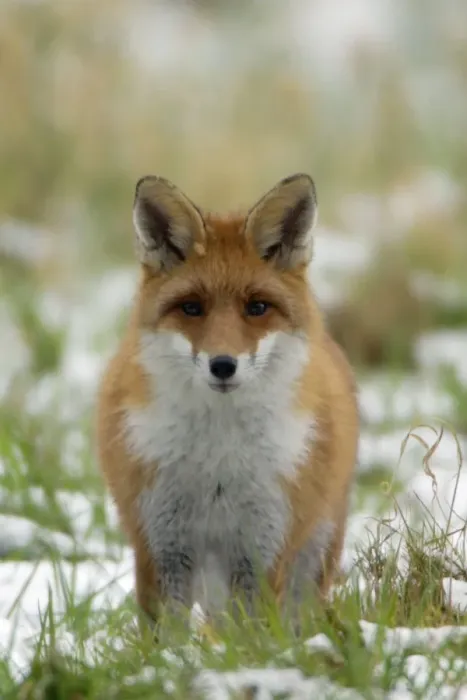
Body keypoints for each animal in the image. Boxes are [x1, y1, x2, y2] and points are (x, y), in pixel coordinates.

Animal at [96, 172, 359, 628]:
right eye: (191, 308)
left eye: (257, 307)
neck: (216, 461)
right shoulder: (161, 545)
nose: (223, 365)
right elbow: (166, 636)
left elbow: (253, 635)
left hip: (312, 559)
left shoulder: (263, 547)